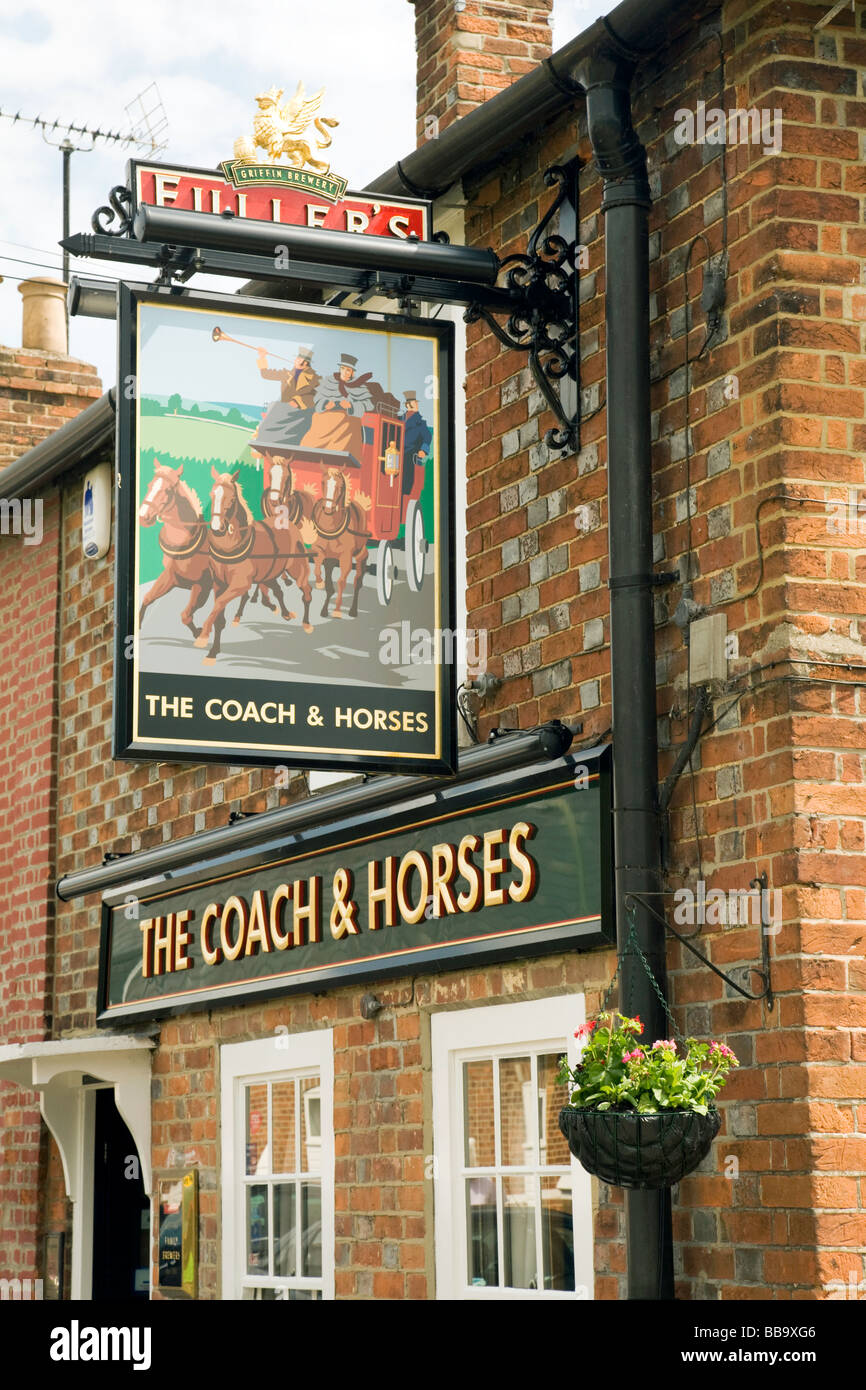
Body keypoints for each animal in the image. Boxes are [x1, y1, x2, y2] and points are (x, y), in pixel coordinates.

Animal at [139, 464, 214, 642]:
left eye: (167, 490)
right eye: (149, 485)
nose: (143, 517)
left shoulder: (202, 585)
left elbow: (185, 615)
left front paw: (199, 633)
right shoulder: (170, 577)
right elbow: (147, 598)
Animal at [194, 467, 311, 661]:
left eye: (232, 499)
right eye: (212, 495)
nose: (217, 529)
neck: (231, 546)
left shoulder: (240, 584)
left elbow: (218, 605)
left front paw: (203, 636)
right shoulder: (219, 584)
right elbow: (219, 615)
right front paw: (213, 651)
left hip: (297, 569)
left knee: (306, 593)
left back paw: (307, 623)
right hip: (269, 573)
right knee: (278, 591)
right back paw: (285, 612)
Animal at [308, 467, 369, 619]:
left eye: (340, 486)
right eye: (323, 482)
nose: (328, 509)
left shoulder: (346, 557)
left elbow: (341, 582)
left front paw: (336, 610)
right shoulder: (319, 549)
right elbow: (318, 570)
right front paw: (319, 582)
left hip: (360, 553)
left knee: (358, 579)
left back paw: (353, 610)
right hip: (331, 560)